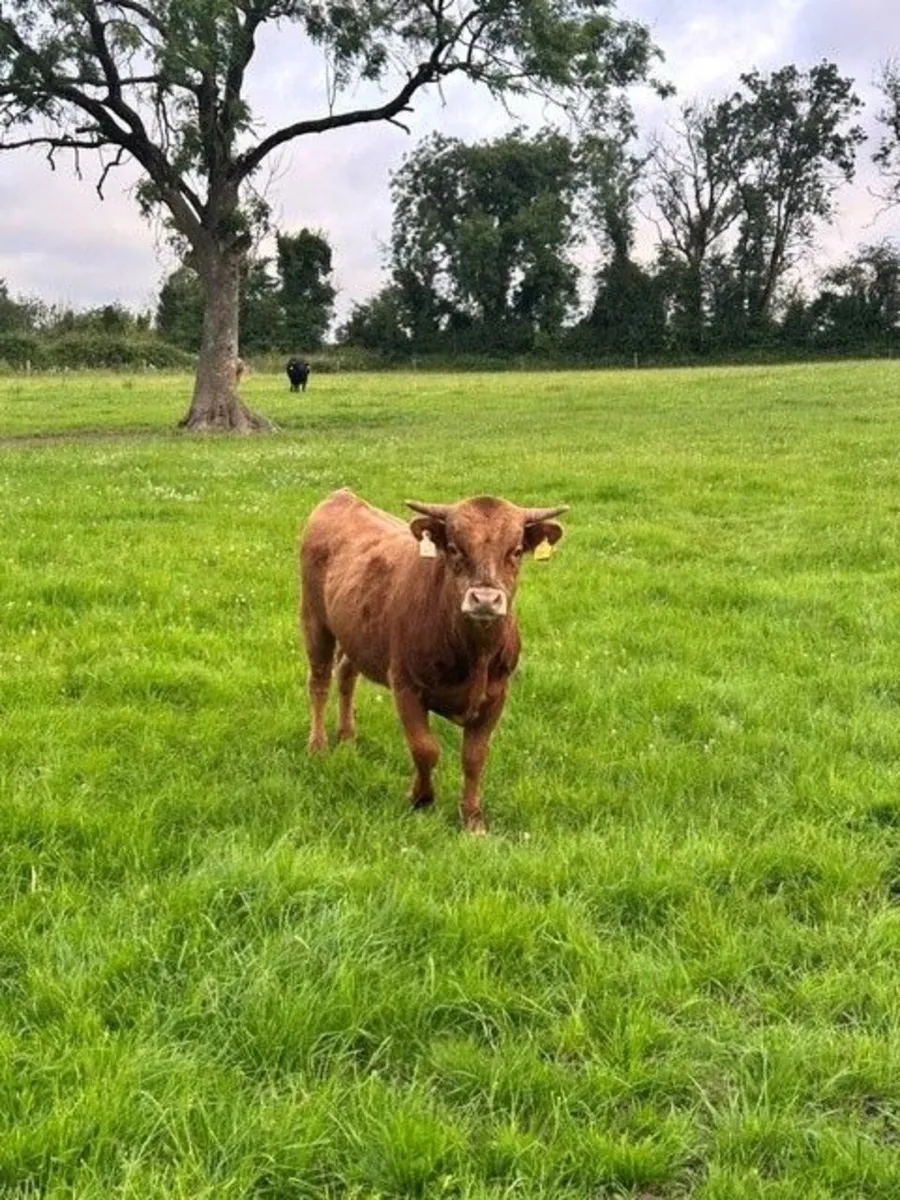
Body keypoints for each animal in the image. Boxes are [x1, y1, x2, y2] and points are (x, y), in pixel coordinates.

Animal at [299, 488, 567, 832]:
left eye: (517, 550)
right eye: (453, 548)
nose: (485, 600)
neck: (475, 654)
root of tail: (342, 496)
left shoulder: (497, 695)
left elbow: (474, 757)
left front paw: (472, 818)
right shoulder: (406, 685)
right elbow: (425, 749)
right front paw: (421, 799)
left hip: (355, 631)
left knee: (346, 674)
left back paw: (347, 737)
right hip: (314, 619)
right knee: (319, 682)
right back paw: (318, 746)